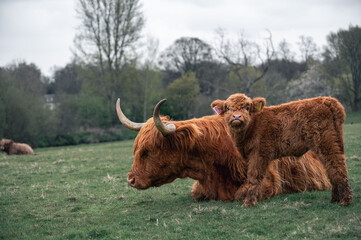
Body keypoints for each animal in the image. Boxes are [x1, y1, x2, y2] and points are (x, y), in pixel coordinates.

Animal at [211, 93, 352, 206]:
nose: (236, 117)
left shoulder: (258, 154)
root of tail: (325, 99)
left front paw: (249, 202)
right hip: (334, 143)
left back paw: (345, 201)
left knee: (337, 168)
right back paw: (335, 199)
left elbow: (254, 177)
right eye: (228, 108)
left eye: (247, 107)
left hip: (326, 143)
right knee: (331, 168)